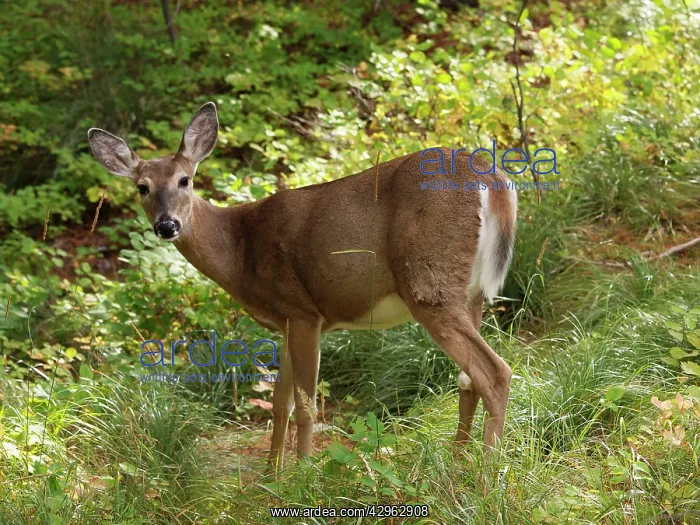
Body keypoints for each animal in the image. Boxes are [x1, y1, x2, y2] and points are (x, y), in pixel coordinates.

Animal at [88, 101, 518, 471]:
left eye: (185, 180)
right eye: (142, 187)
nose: (167, 225)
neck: (240, 250)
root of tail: (490, 177)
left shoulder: (304, 311)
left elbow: (306, 406)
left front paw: (303, 475)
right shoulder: (286, 321)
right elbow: (280, 403)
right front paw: (270, 475)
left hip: (428, 283)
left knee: (493, 371)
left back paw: (486, 475)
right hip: (470, 293)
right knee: (468, 378)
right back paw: (457, 462)